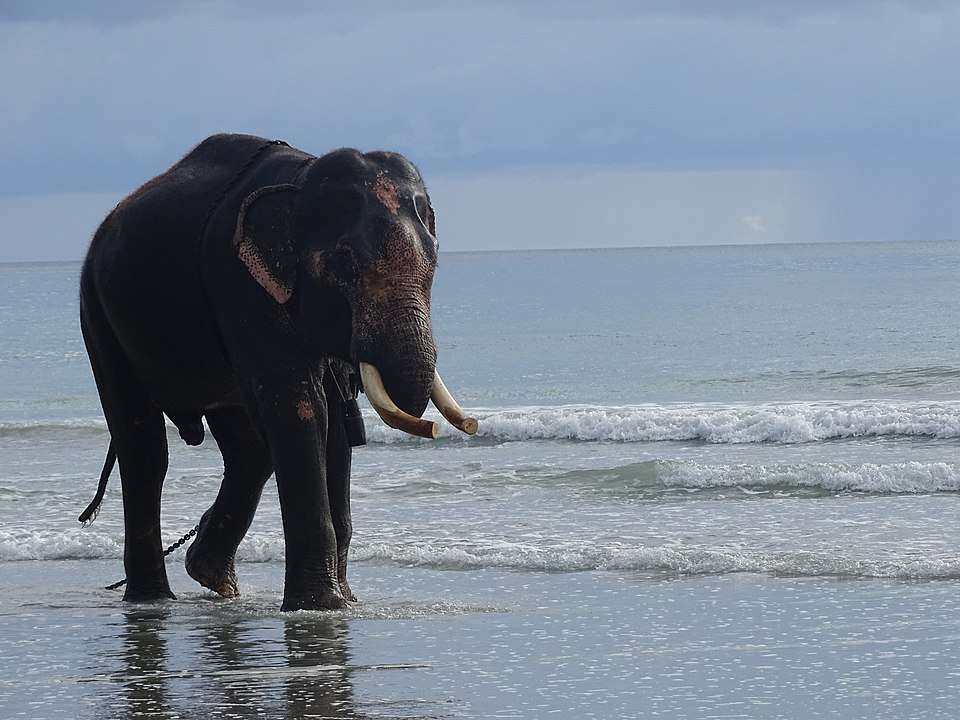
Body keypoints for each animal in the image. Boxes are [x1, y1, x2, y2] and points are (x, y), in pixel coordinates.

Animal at [79, 133, 477, 610]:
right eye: (345, 264)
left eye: (433, 262)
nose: (437, 428)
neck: (301, 180)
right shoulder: (240, 282)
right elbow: (302, 409)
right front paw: (320, 606)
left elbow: (335, 424)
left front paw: (346, 601)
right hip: (98, 312)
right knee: (143, 445)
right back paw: (153, 599)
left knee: (249, 448)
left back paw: (212, 577)